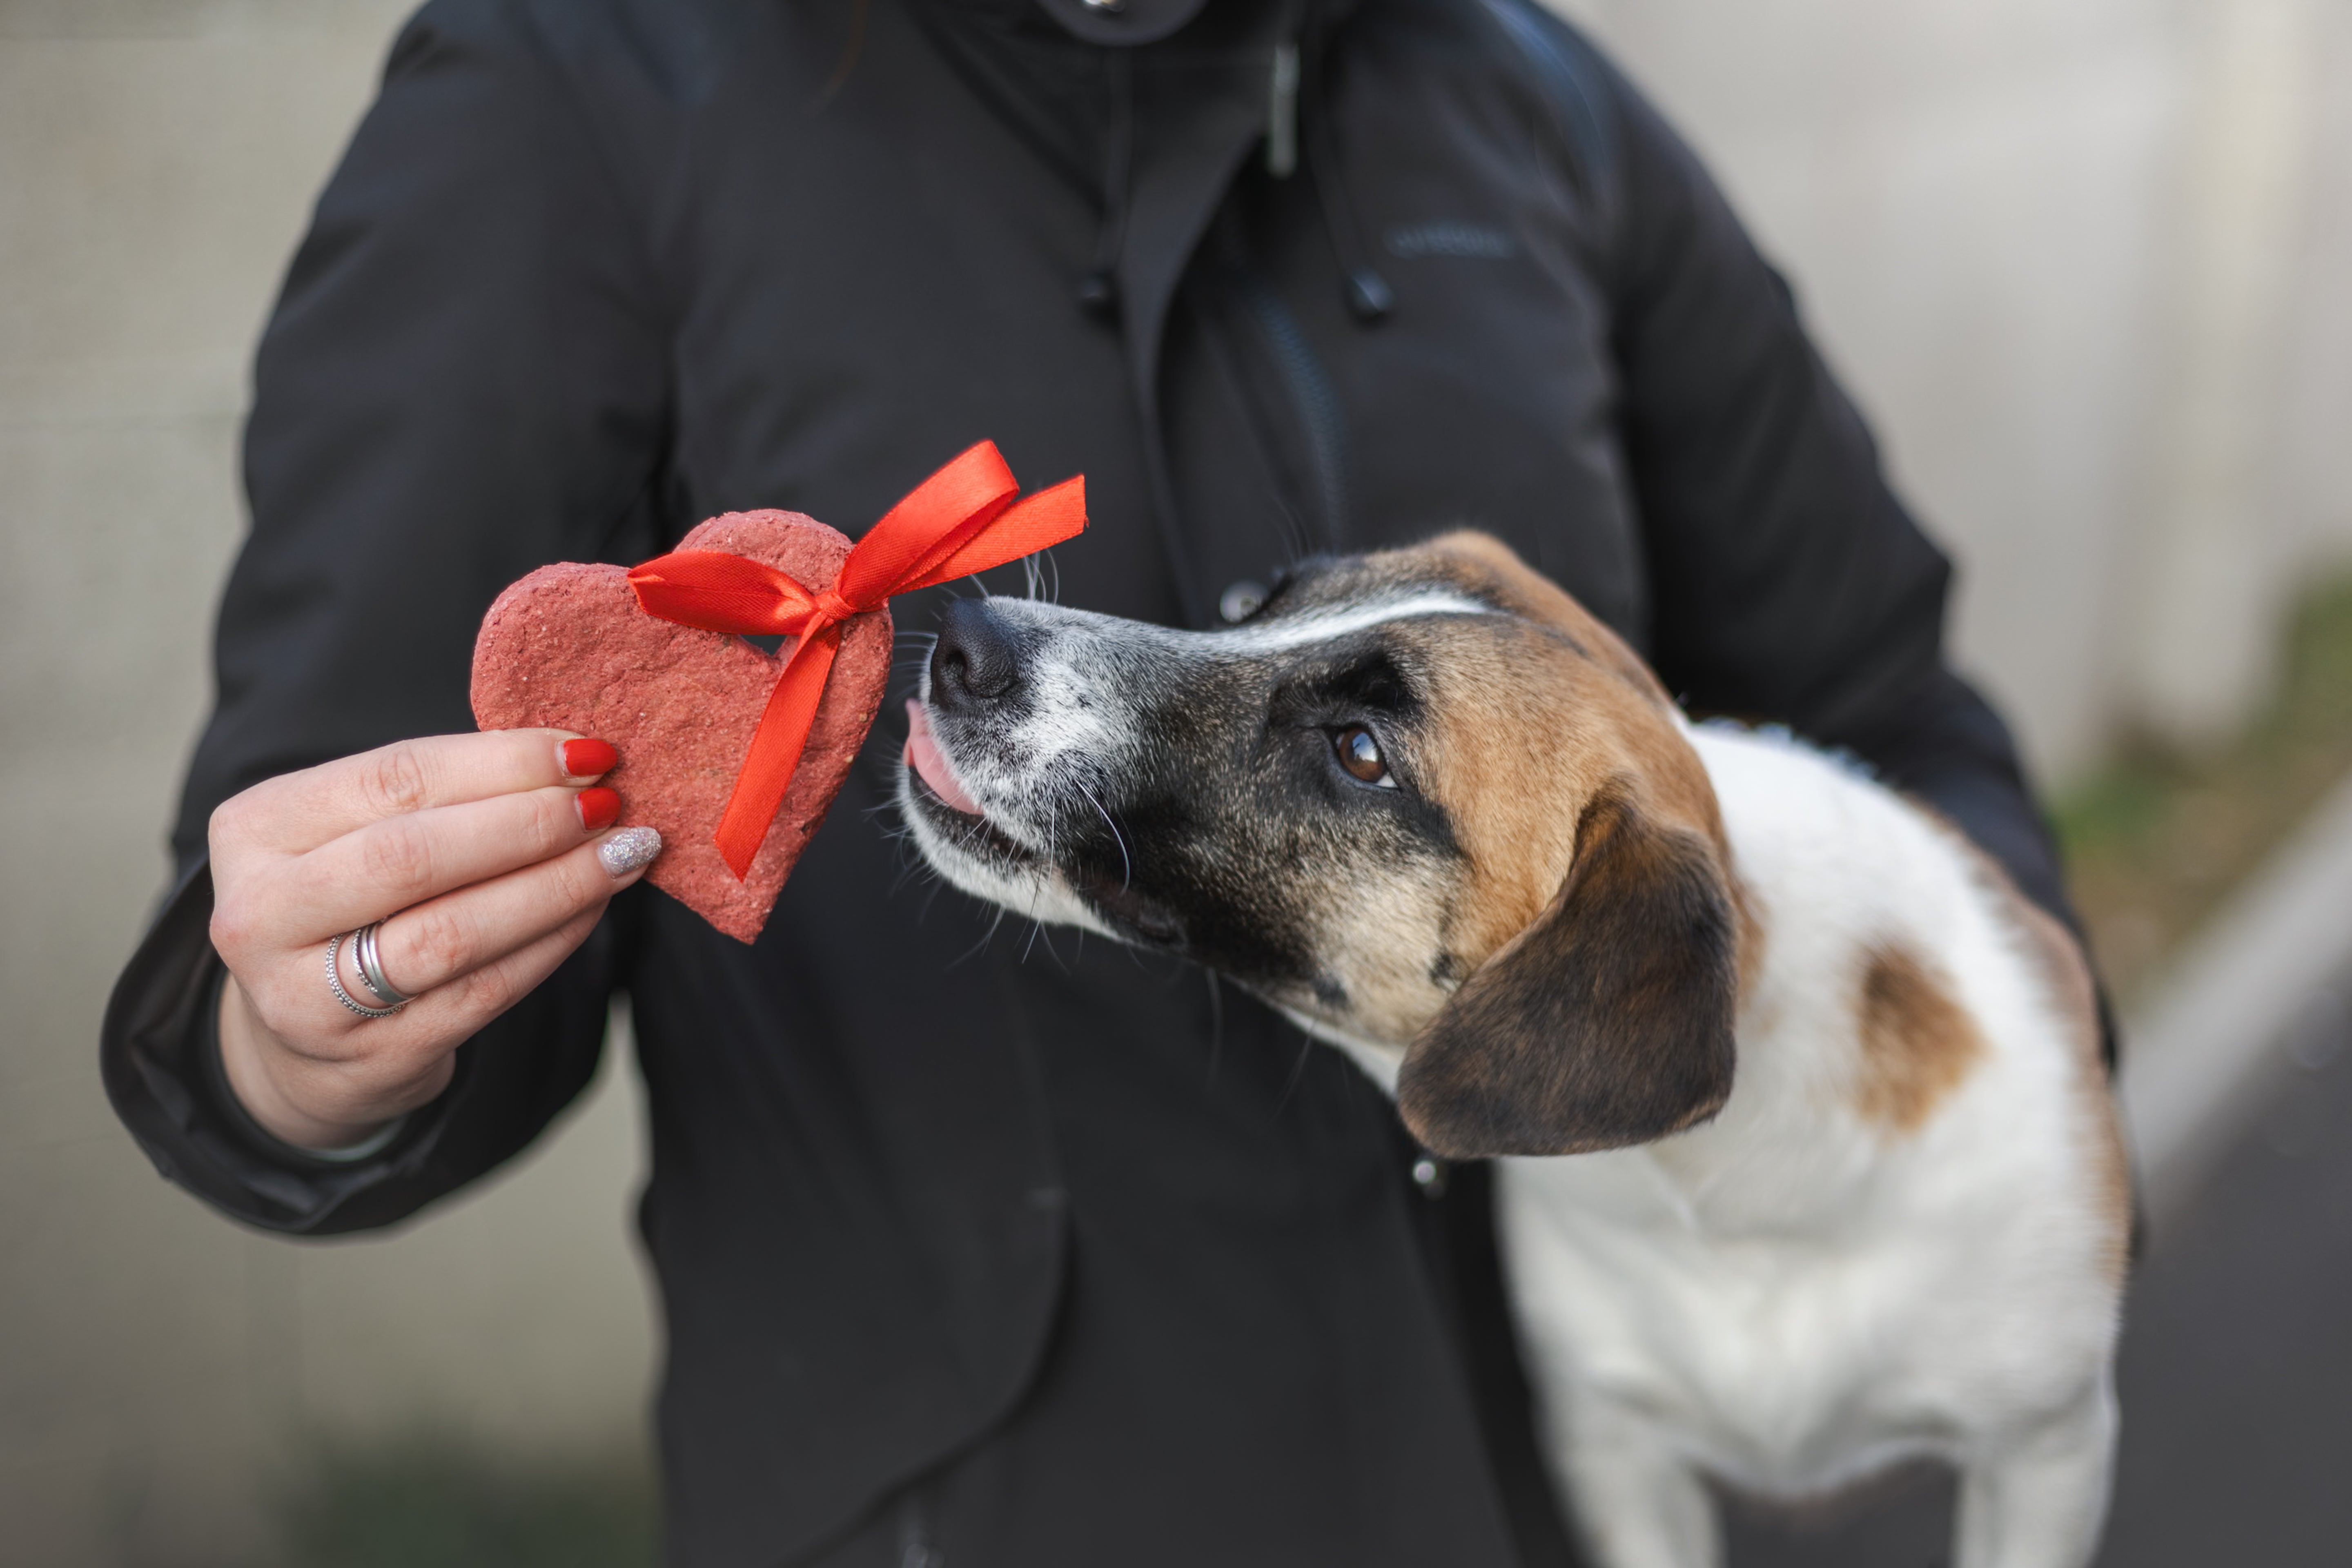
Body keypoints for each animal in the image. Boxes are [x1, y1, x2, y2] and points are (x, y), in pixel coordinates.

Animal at [893, 533, 2136, 1561]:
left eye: (1360, 751)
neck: (1723, 1195)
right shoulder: (1612, 1453)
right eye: (1253, 605)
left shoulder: (2046, 1448)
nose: (965, 638)